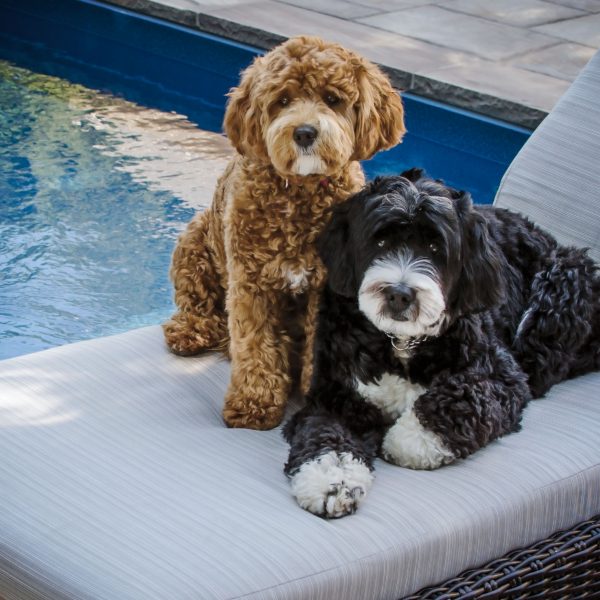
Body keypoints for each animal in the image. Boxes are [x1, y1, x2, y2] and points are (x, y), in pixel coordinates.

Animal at [164, 35, 406, 428]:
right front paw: (254, 403)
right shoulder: (251, 283)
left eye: (332, 99)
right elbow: (255, 345)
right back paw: (191, 331)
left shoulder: (327, 288)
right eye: (282, 101)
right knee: (199, 305)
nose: (305, 132)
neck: (300, 194)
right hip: (193, 243)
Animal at [282, 171, 600, 516]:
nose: (399, 294)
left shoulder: (501, 377)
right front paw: (331, 481)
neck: (399, 342)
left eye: (435, 247)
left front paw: (403, 439)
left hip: (565, 279)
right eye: (379, 241)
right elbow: (325, 433)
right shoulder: (334, 392)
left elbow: (455, 401)